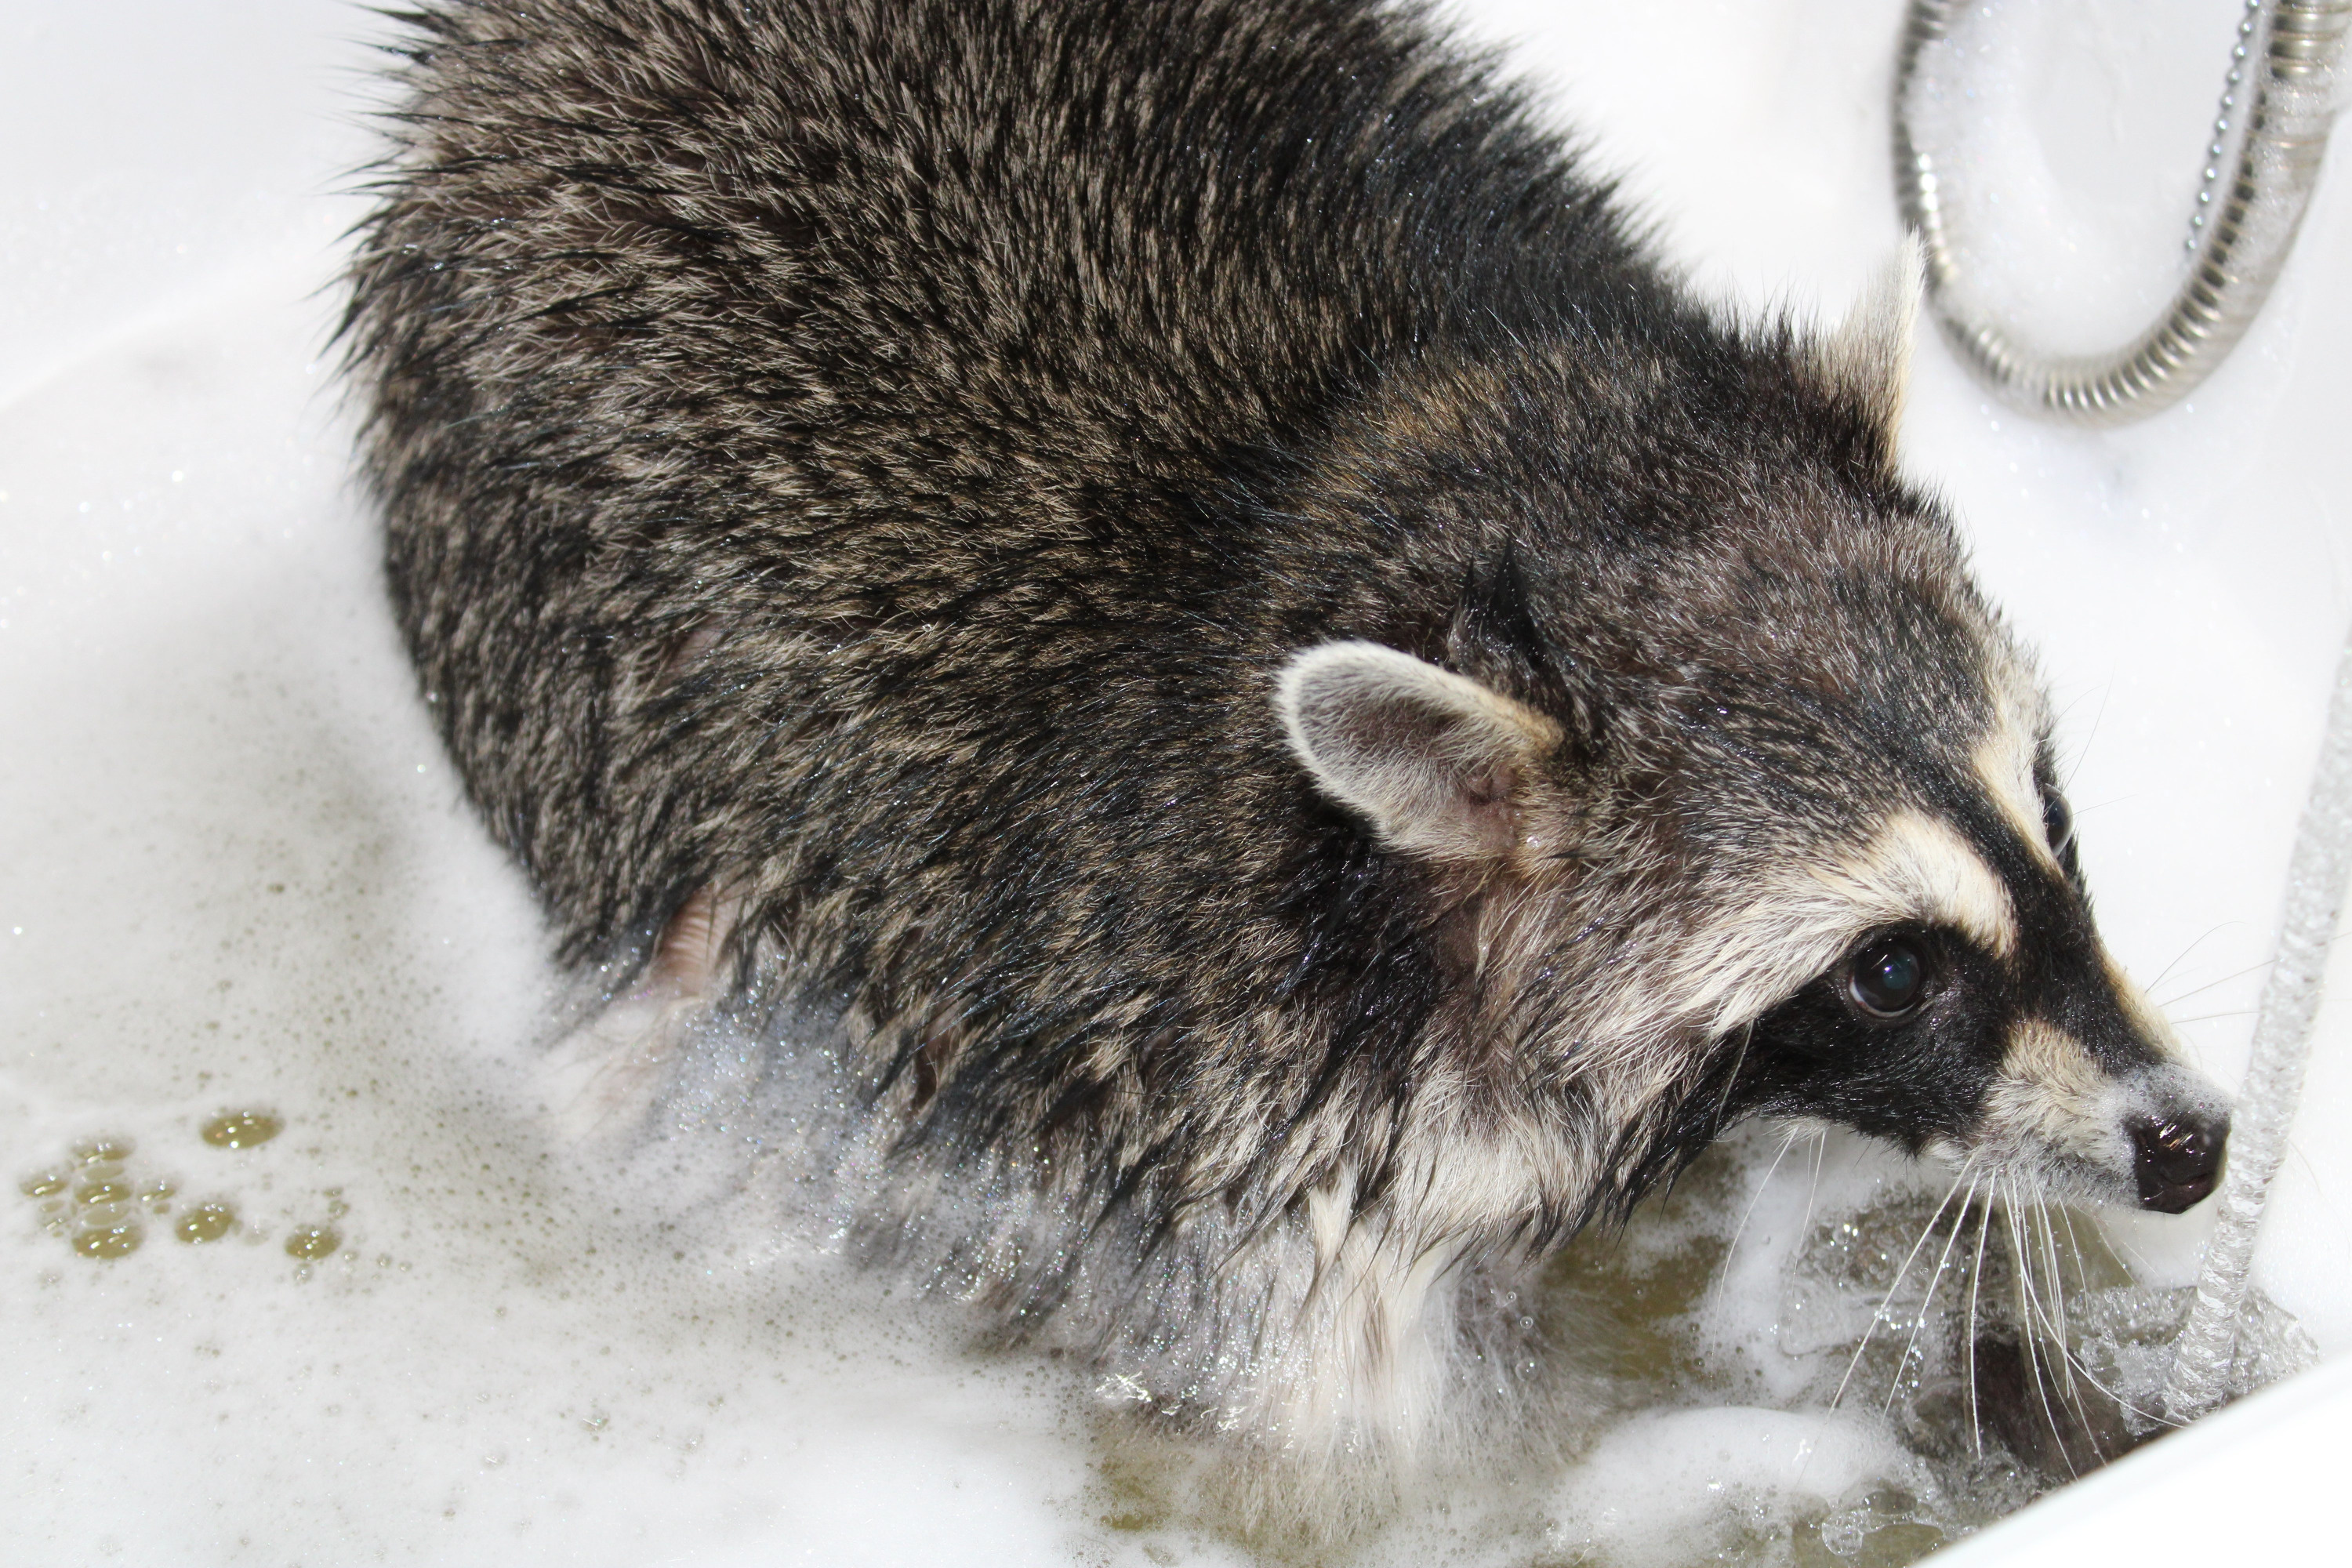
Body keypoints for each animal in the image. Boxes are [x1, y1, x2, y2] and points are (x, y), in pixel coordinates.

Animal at [341, 0, 2230, 1476]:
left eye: (2050, 807)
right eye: (1890, 971)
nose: (2192, 1142)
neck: (1358, 463)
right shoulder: (1209, 1136)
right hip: (506, 558)